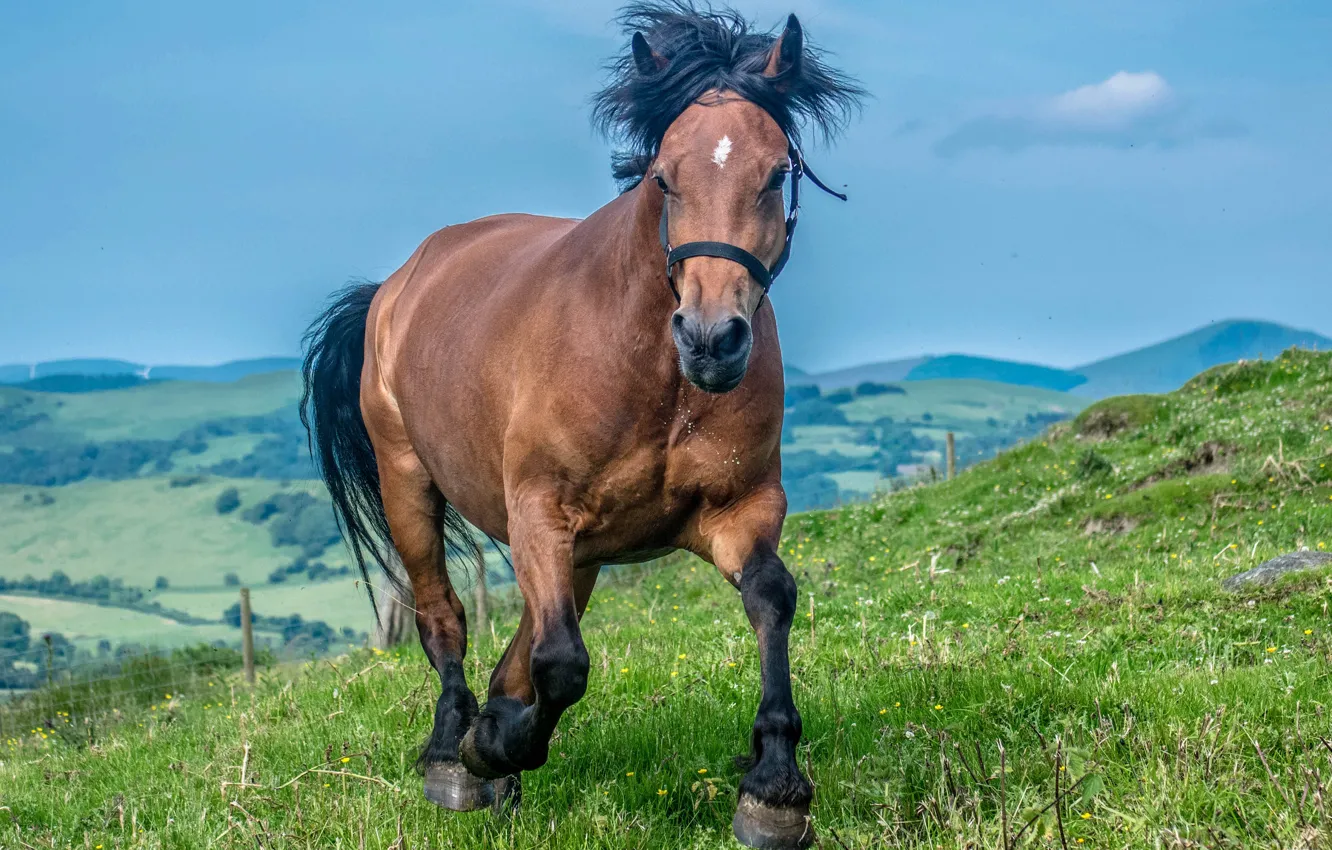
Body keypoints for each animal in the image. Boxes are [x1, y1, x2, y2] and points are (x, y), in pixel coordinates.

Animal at [301, 4, 862, 847]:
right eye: (664, 177)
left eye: (774, 174)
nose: (711, 339)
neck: (654, 377)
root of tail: (397, 284)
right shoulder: (540, 511)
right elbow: (563, 664)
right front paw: (493, 747)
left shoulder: (739, 511)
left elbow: (771, 596)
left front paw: (774, 788)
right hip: (410, 484)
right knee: (445, 621)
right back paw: (455, 756)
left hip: (586, 553)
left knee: (517, 649)